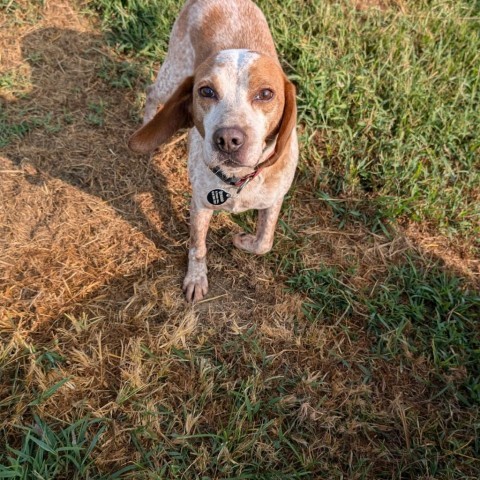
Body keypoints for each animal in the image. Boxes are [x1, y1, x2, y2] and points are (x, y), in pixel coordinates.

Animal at [129, 0, 298, 302]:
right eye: (206, 91)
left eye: (266, 94)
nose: (228, 139)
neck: (237, 181)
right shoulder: (200, 204)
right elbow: (197, 247)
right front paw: (196, 279)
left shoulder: (274, 200)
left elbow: (264, 242)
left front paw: (243, 239)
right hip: (172, 75)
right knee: (151, 93)